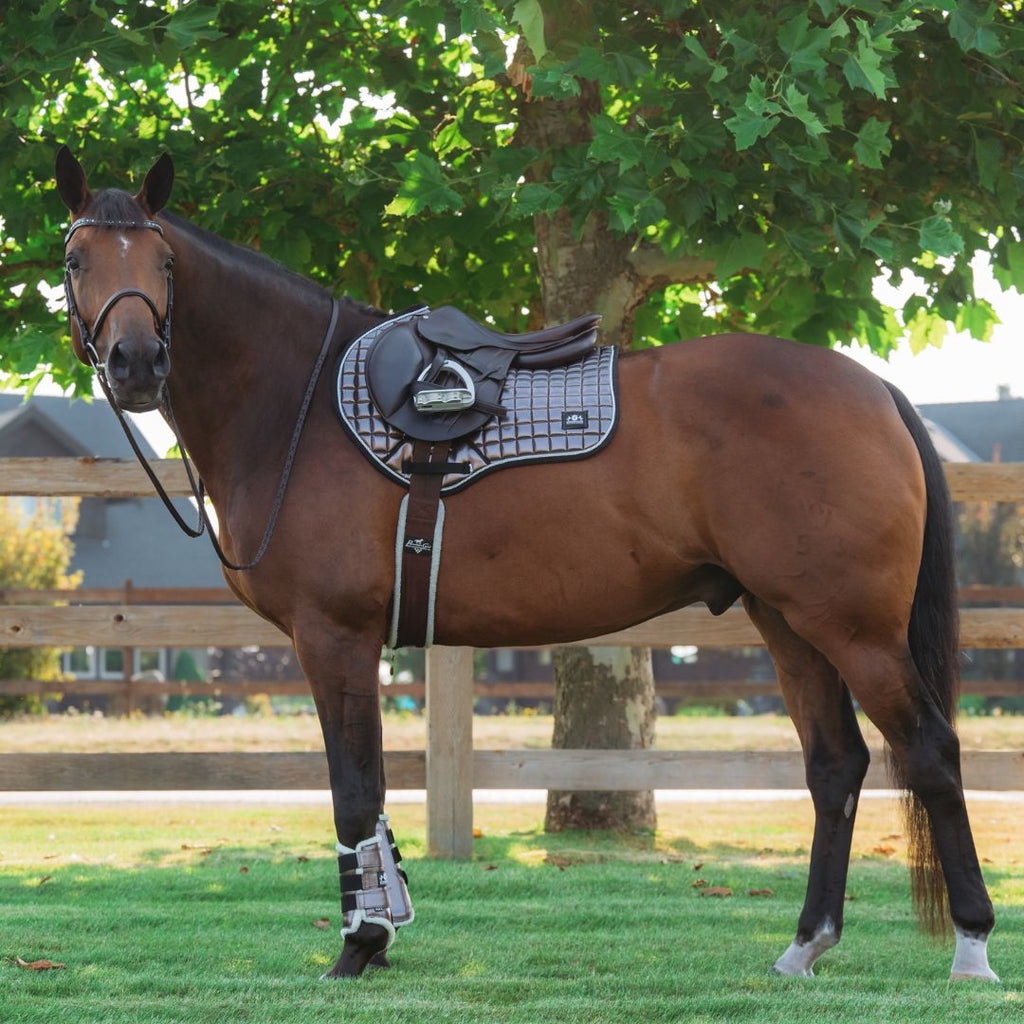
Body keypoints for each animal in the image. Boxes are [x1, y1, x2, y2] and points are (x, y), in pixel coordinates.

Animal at [51, 148, 995, 978]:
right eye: (74, 259)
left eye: (163, 262)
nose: (137, 362)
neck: (300, 403)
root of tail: (874, 391)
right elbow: (368, 793)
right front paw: (377, 937)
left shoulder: (334, 637)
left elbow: (354, 793)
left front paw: (361, 945)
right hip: (789, 621)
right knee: (836, 767)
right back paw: (805, 945)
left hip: (853, 628)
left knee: (930, 752)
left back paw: (972, 946)